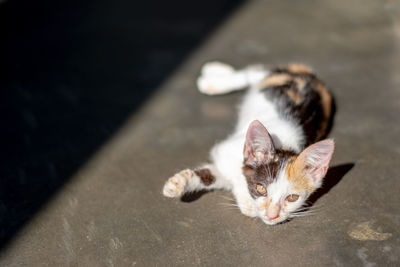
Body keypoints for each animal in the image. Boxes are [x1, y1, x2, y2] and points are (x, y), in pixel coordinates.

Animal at [162, 61, 334, 225]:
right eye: (261, 189)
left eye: (292, 198)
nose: (272, 215)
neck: (285, 144)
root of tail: (313, 78)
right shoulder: (225, 152)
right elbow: (232, 172)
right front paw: (176, 185)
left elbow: (214, 176)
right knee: (253, 72)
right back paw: (213, 77)